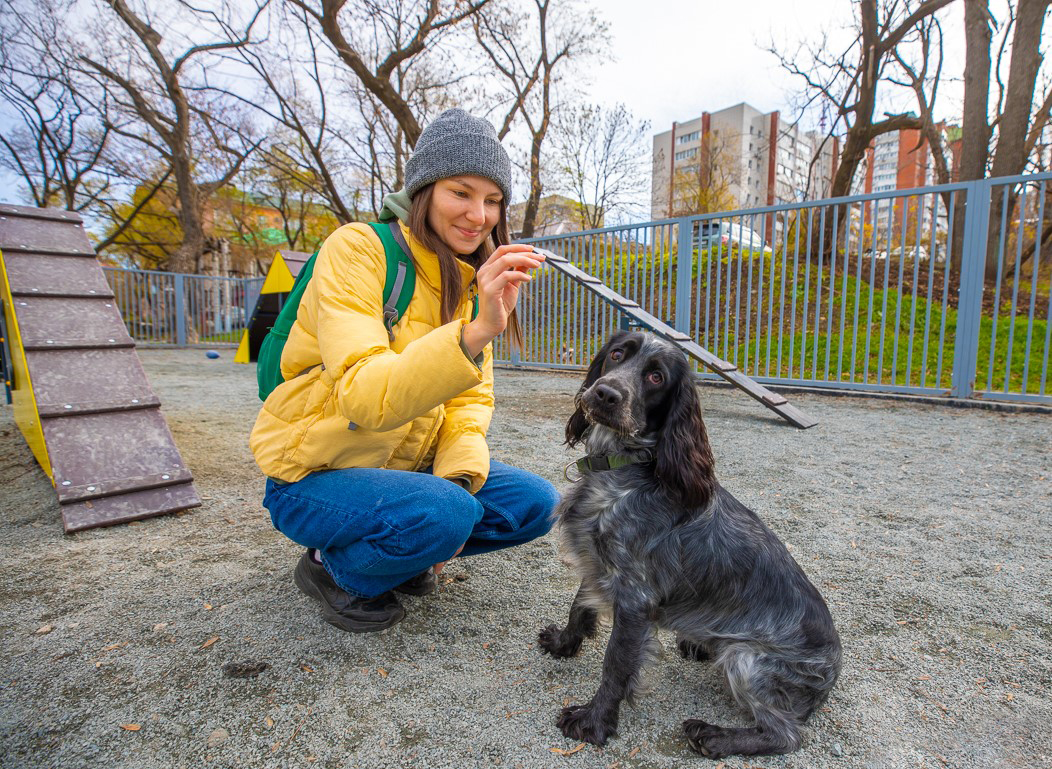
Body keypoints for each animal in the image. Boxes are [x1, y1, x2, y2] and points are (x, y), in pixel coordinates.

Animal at [538, 330, 841, 757]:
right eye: (617, 354)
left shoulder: (635, 599)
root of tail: (834, 669)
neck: (621, 470)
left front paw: (594, 722)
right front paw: (564, 644)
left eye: (656, 378)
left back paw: (714, 735)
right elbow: (578, 607)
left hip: (746, 659)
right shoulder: (599, 564)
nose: (605, 393)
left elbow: (615, 665)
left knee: (786, 734)